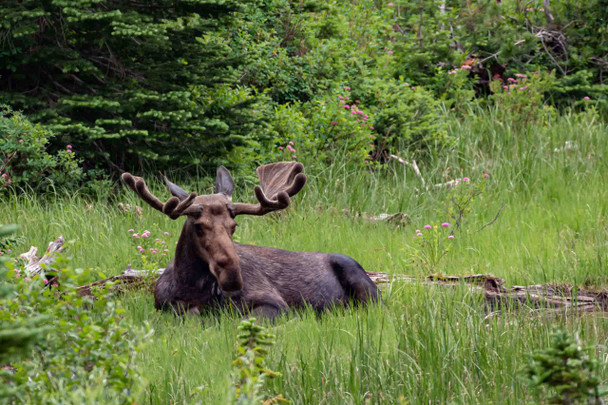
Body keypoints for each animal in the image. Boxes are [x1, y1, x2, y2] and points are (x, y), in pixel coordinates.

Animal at [121, 162, 378, 318]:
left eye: (233, 226)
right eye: (199, 226)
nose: (233, 275)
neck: (189, 287)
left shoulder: (276, 305)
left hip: (366, 288)